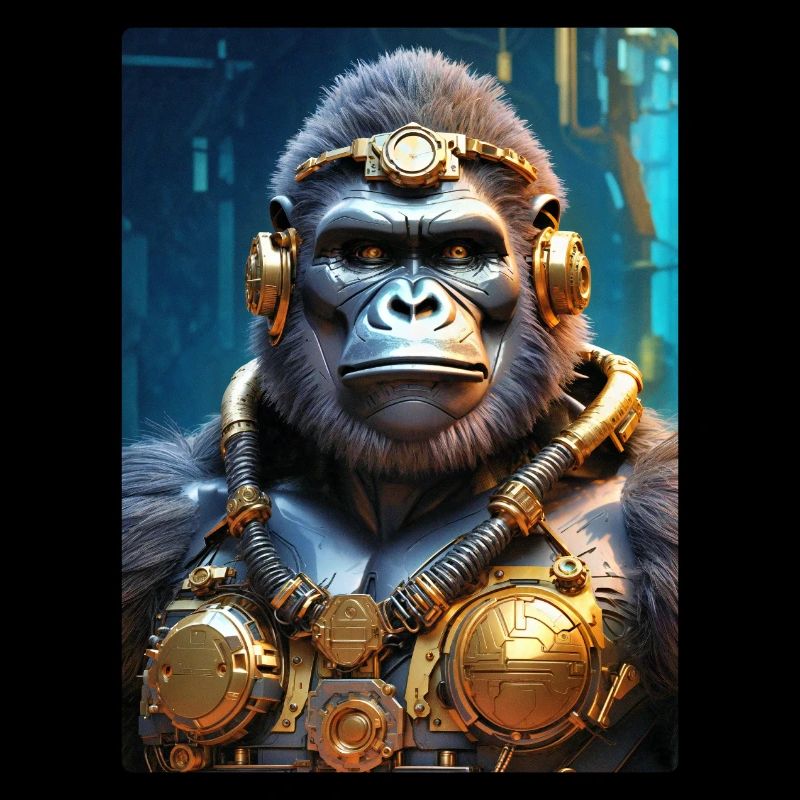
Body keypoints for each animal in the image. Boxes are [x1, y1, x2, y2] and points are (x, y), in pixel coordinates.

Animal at [123, 48, 677, 772]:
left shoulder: (661, 503)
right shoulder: (157, 508)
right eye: (366, 254)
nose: (412, 305)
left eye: (461, 253)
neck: (396, 489)